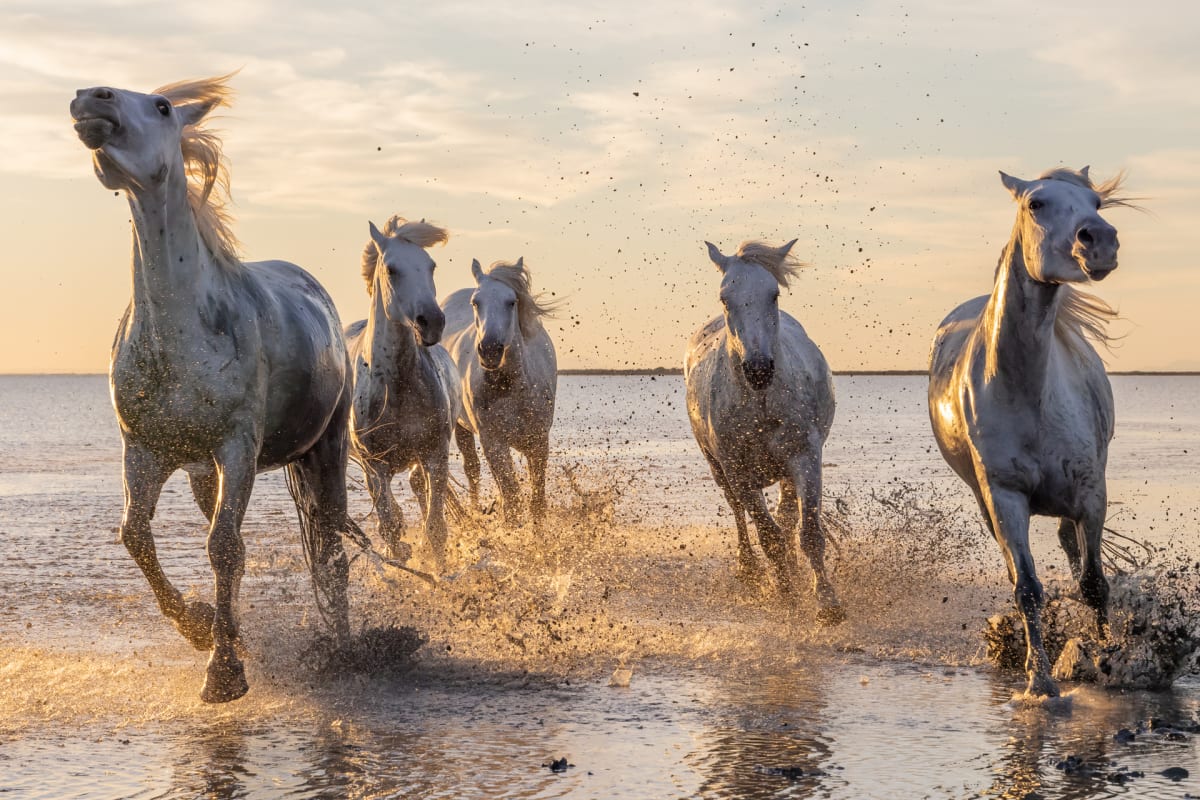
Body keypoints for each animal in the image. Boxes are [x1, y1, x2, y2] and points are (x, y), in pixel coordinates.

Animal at [69, 74, 357, 700]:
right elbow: (137, 536)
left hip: (325, 450)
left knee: (330, 554)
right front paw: (204, 630)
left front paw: (223, 672)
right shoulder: (145, 451)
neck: (179, 335)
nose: (90, 99)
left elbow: (224, 549)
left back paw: (347, 649)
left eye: (162, 106)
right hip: (204, 474)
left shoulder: (237, 449)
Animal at [348, 215, 463, 573]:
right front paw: (402, 556)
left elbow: (435, 527)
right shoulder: (375, 465)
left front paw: (439, 572)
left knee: (417, 488)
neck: (396, 388)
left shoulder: (434, 454)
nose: (432, 322)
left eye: (431, 266)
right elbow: (389, 524)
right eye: (391, 269)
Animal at [444, 260, 559, 527]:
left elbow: (537, 503)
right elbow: (513, 501)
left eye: (512, 301)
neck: (512, 388)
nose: (490, 351)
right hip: (461, 427)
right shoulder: (493, 441)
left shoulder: (539, 440)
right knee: (472, 469)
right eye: (476, 302)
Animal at [686, 236, 844, 618]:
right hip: (717, 468)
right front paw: (785, 593)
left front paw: (827, 601)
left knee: (785, 516)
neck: (760, 403)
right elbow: (767, 534)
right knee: (738, 512)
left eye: (773, 294)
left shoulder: (805, 456)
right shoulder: (737, 470)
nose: (758, 369)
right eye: (724, 297)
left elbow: (808, 531)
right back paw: (751, 569)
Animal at [931, 165, 1128, 695]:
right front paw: (1039, 679)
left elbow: (1094, 583)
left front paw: (1111, 658)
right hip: (985, 503)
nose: (1099, 242)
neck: (1029, 393)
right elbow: (1027, 589)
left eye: (1095, 204)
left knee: (1073, 549)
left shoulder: (1091, 491)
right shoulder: (1005, 496)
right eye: (1035, 203)